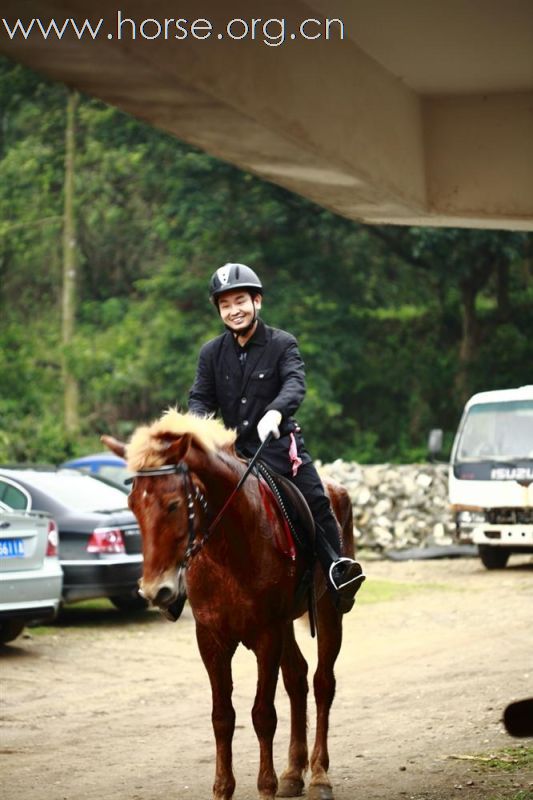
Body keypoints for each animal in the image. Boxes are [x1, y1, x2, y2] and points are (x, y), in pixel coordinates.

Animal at [102, 410, 356, 800]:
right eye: (133, 505)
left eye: (173, 504)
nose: (155, 590)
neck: (230, 547)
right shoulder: (211, 638)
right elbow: (222, 716)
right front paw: (223, 788)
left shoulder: (266, 635)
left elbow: (263, 715)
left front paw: (265, 787)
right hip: (285, 624)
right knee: (297, 678)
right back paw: (292, 773)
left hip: (328, 610)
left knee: (322, 682)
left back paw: (318, 776)